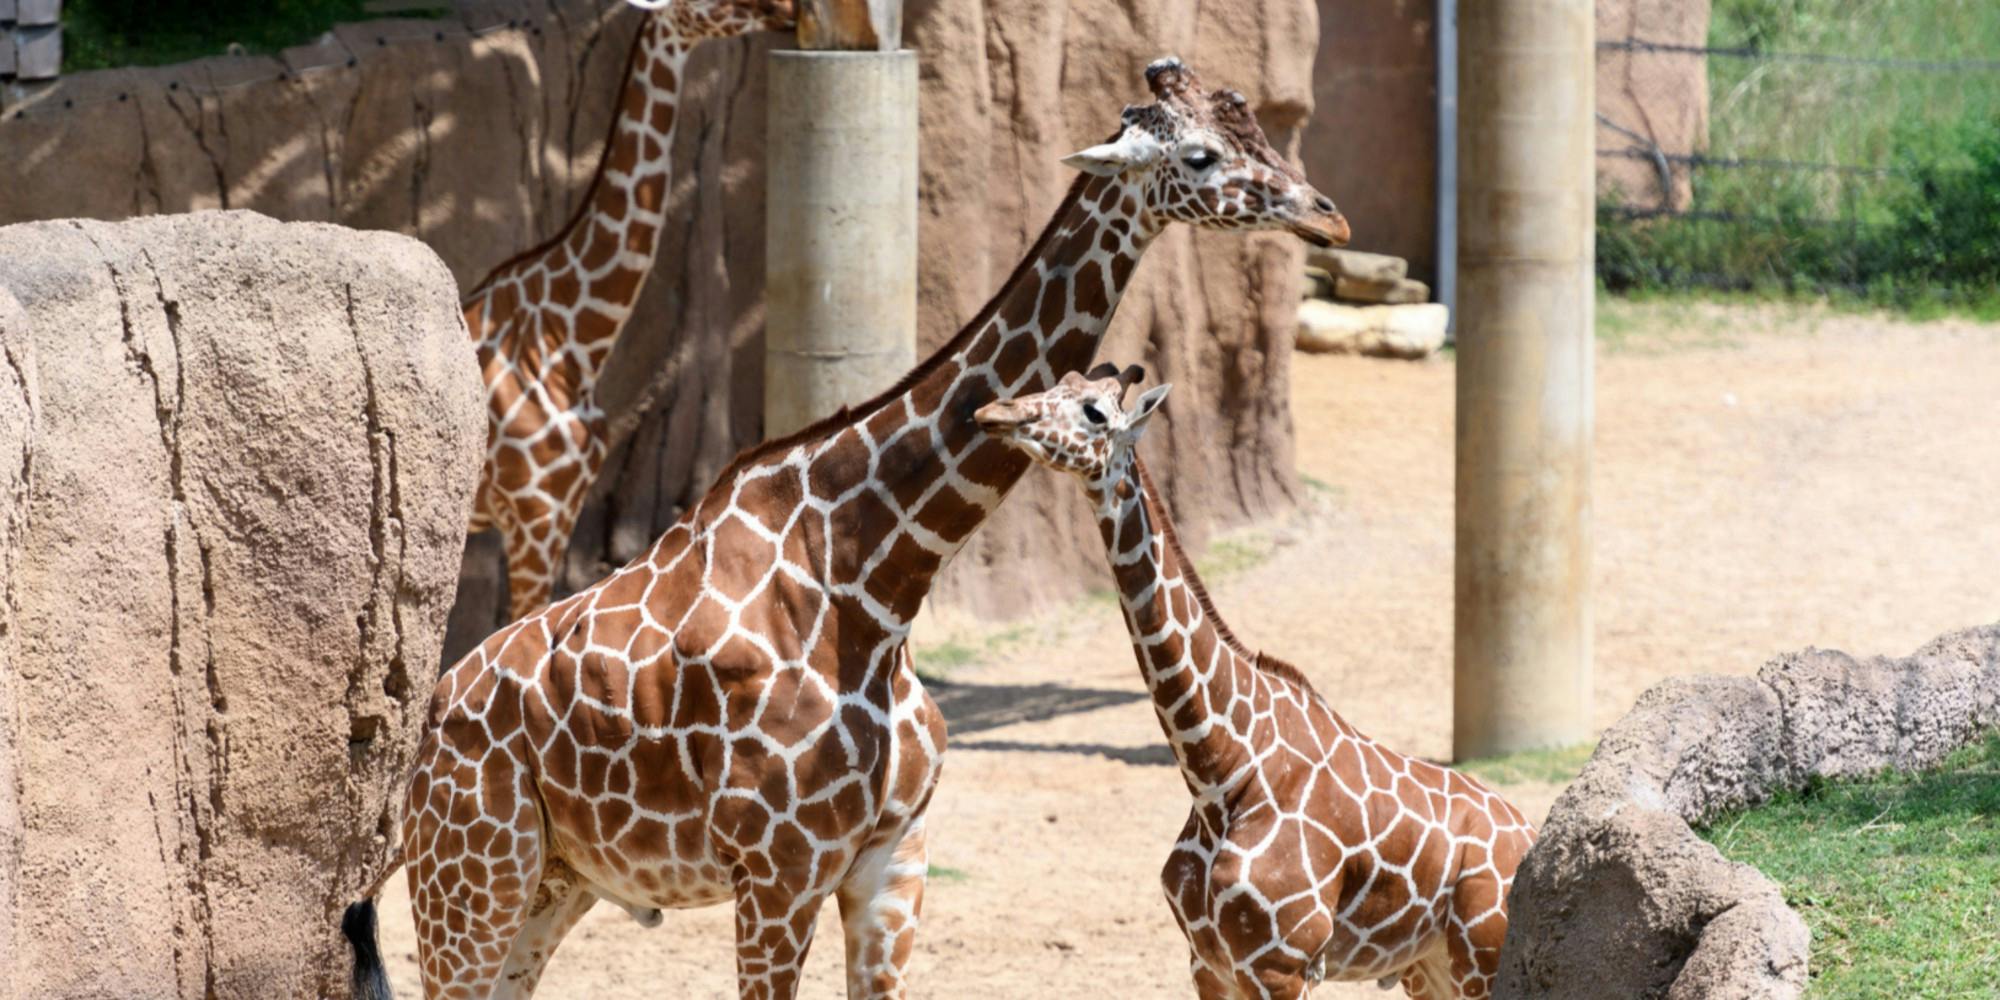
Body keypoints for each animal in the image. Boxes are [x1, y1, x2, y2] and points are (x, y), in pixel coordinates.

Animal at [976, 370, 1536, 1000]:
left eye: (1094, 411)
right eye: (1060, 382)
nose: (995, 413)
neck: (1219, 770)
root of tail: (1529, 836)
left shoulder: (1281, 964)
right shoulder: (1210, 961)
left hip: (1480, 957)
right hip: (1428, 967)